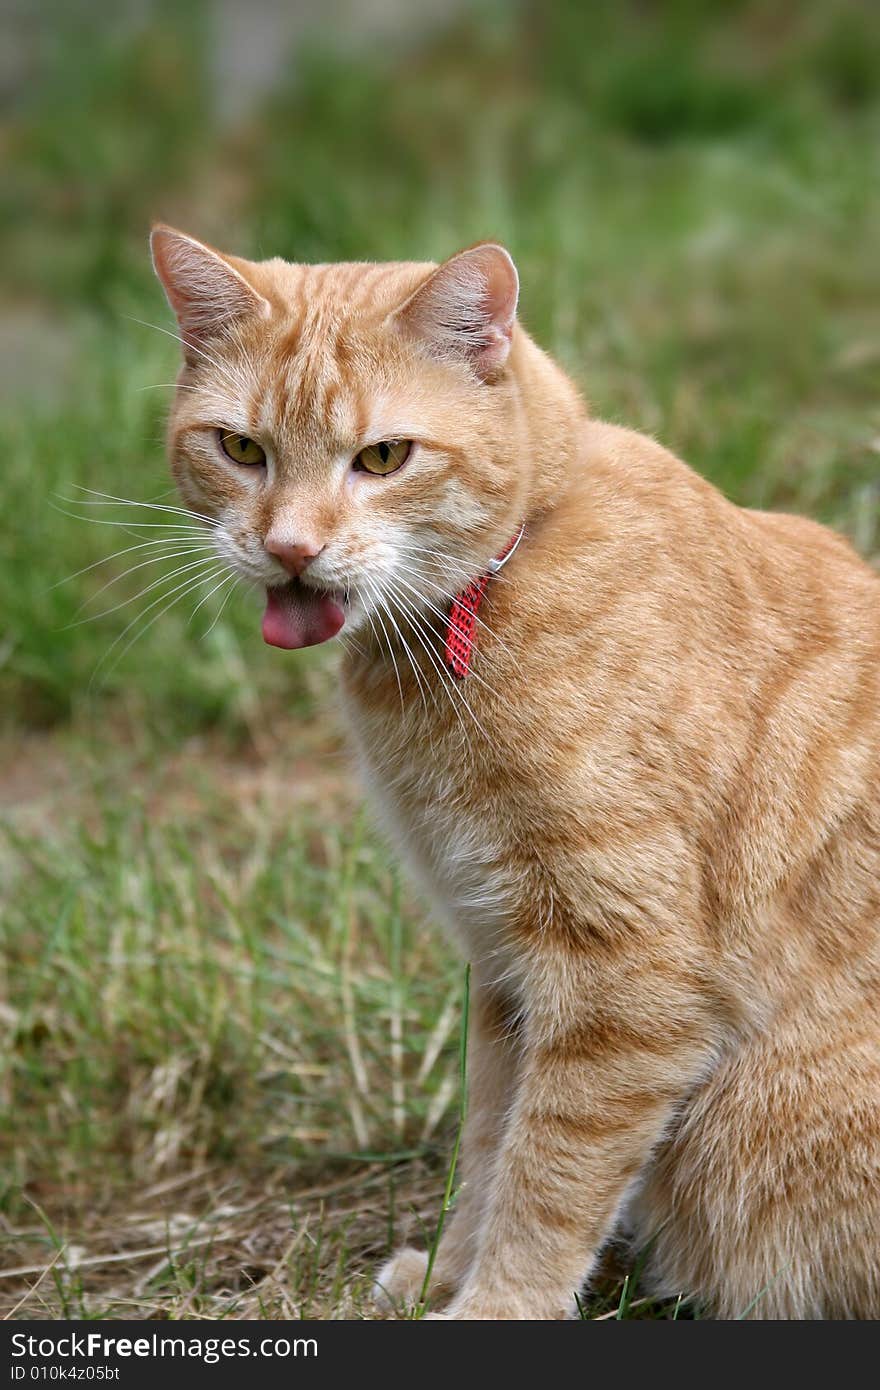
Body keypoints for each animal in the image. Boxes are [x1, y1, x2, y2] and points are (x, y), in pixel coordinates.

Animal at [150, 225, 878, 1312]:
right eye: (240, 448)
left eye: (383, 456)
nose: (290, 548)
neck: (502, 582)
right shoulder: (501, 963)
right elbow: (492, 1141)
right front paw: (448, 1273)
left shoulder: (620, 974)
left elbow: (550, 1174)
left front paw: (496, 1303)